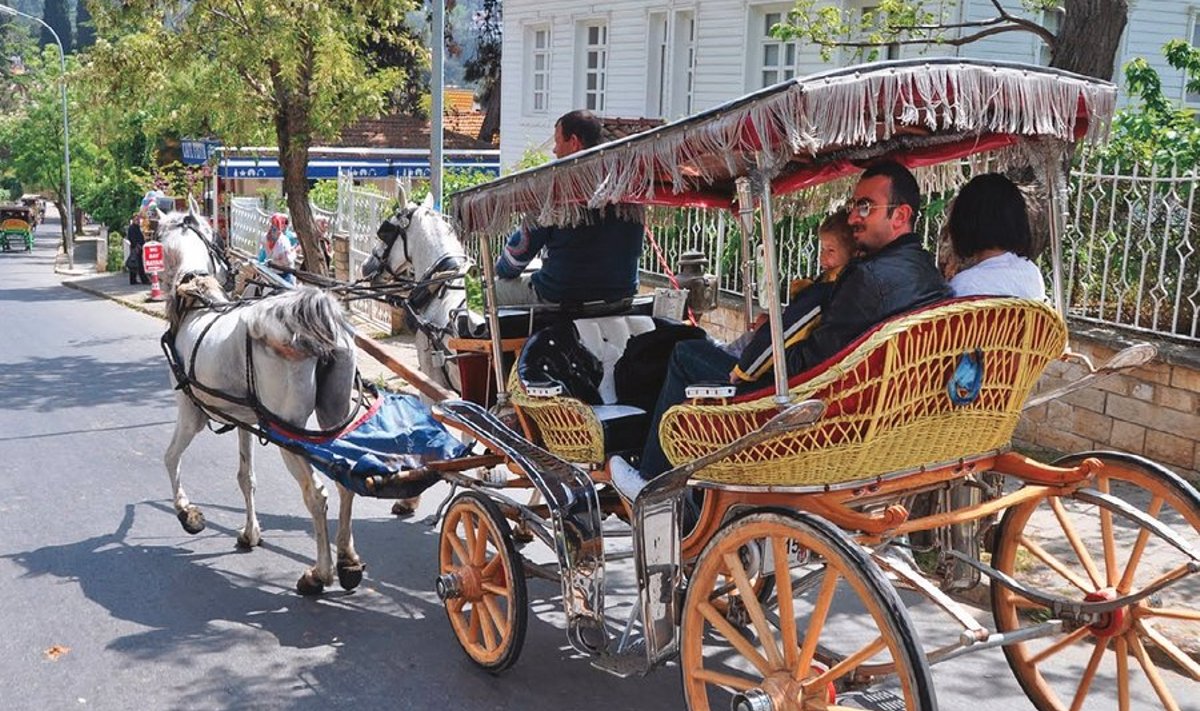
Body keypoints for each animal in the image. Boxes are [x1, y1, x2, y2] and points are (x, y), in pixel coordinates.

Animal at [159, 211, 364, 593]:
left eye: (159, 245)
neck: (196, 303)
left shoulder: (190, 411)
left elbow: (170, 457)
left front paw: (187, 513)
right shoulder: (247, 419)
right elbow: (246, 476)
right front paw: (250, 533)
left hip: (289, 433)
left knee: (317, 495)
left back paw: (319, 573)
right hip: (334, 416)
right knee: (345, 481)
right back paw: (347, 560)